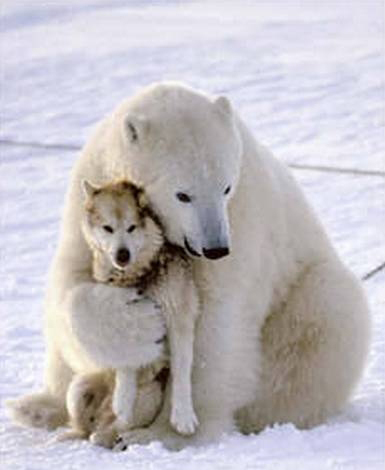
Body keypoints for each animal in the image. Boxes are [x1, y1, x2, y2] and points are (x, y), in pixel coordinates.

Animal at [67, 178, 198, 442]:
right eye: (108, 228)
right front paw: (123, 399)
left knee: (110, 430)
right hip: (78, 389)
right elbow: (127, 359)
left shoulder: (179, 316)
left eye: (132, 228)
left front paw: (183, 416)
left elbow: (182, 368)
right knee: (91, 428)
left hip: (151, 397)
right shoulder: (126, 319)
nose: (122, 254)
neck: (139, 277)